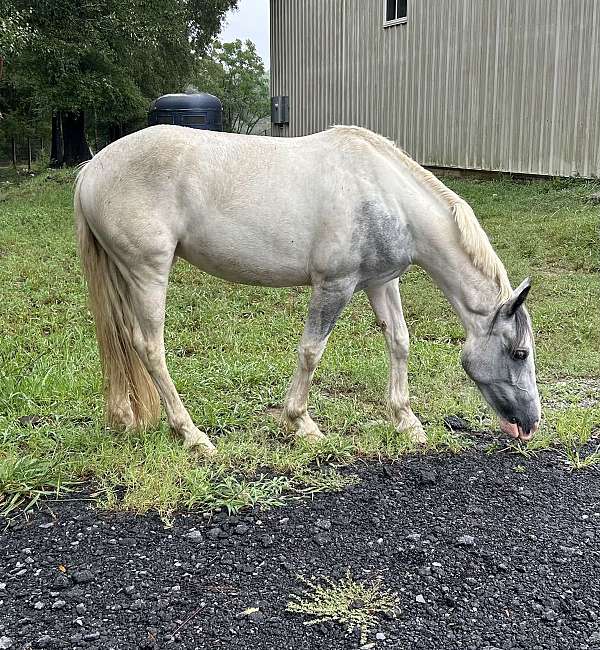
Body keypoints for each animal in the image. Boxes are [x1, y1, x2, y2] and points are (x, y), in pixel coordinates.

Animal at [75, 125, 541, 454]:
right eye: (520, 353)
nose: (530, 424)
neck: (384, 192)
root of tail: (91, 171)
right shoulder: (335, 285)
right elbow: (311, 351)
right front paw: (301, 423)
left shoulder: (380, 282)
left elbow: (399, 341)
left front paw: (407, 421)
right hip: (148, 272)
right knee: (149, 347)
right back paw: (192, 435)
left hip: (125, 275)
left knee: (121, 341)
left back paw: (126, 418)